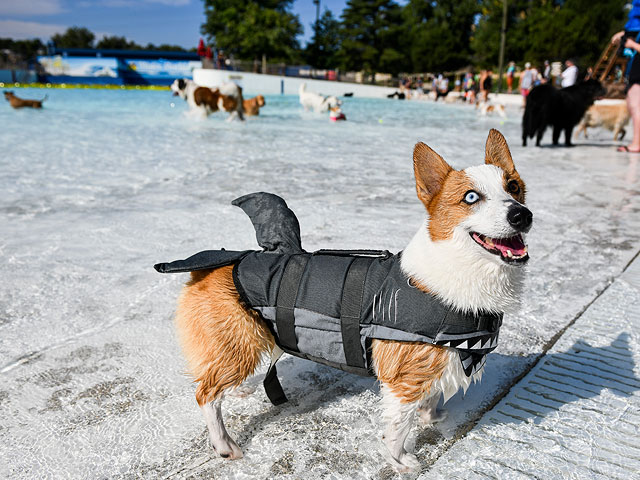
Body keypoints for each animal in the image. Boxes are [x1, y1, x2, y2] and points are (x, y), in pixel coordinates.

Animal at [160, 128, 528, 472]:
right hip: (240, 341)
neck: (460, 273)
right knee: (205, 395)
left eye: (513, 187)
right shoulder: (403, 380)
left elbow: (432, 396)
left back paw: (239, 390)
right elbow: (397, 427)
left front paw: (431, 415)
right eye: (471, 197)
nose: (522, 215)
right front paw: (401, 461)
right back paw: (224, 444)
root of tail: (225, 261)